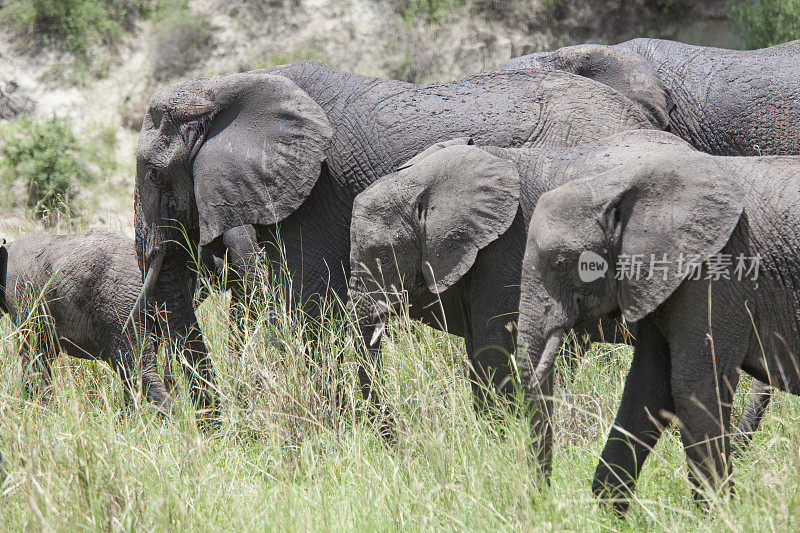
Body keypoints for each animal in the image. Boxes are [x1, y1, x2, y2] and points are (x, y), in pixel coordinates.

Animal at [0, 227, 173, 410]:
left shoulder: (22, 296)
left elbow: (33, 353)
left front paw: (41, 408)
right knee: (130, 373)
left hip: (121, 306)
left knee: (137, 369)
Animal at [516, 128, 800, 512]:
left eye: (561, 262)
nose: (542, 503)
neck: (616, 184)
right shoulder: (656, 281)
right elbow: (648, 385)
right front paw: (609, 513)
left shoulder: (717, 272)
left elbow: (693, 386)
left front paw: (716, 515)